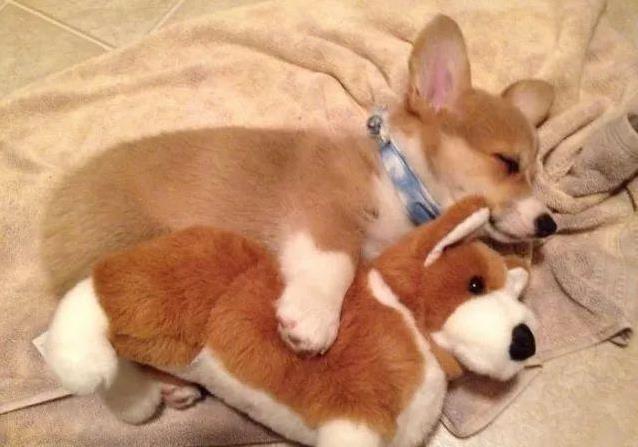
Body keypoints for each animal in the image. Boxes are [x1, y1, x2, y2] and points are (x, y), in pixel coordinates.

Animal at [42, 15, 554, 365]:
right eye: (508, 163)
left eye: (535, 171)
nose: (550, 223)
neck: (398, 178)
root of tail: (58, 199)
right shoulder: (323, 212)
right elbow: (335, 262)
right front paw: (312, 320)